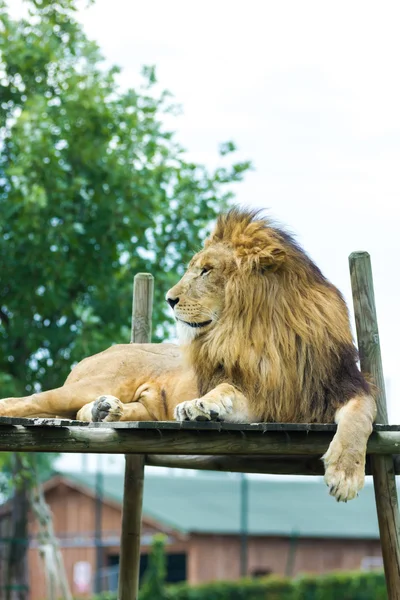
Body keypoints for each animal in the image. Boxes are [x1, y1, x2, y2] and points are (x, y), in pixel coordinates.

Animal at [0, 209, 376, 500]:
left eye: (206, 270)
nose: (169, 298)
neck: (259, 334)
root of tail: (103, 350)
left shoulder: (329, 389)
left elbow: (360, 416)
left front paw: (345, 473)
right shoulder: (258, 389)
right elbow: (226, 388)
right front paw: (201, 405)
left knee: (97, 411)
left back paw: (105, 410)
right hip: (94, 381)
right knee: (29, 401)